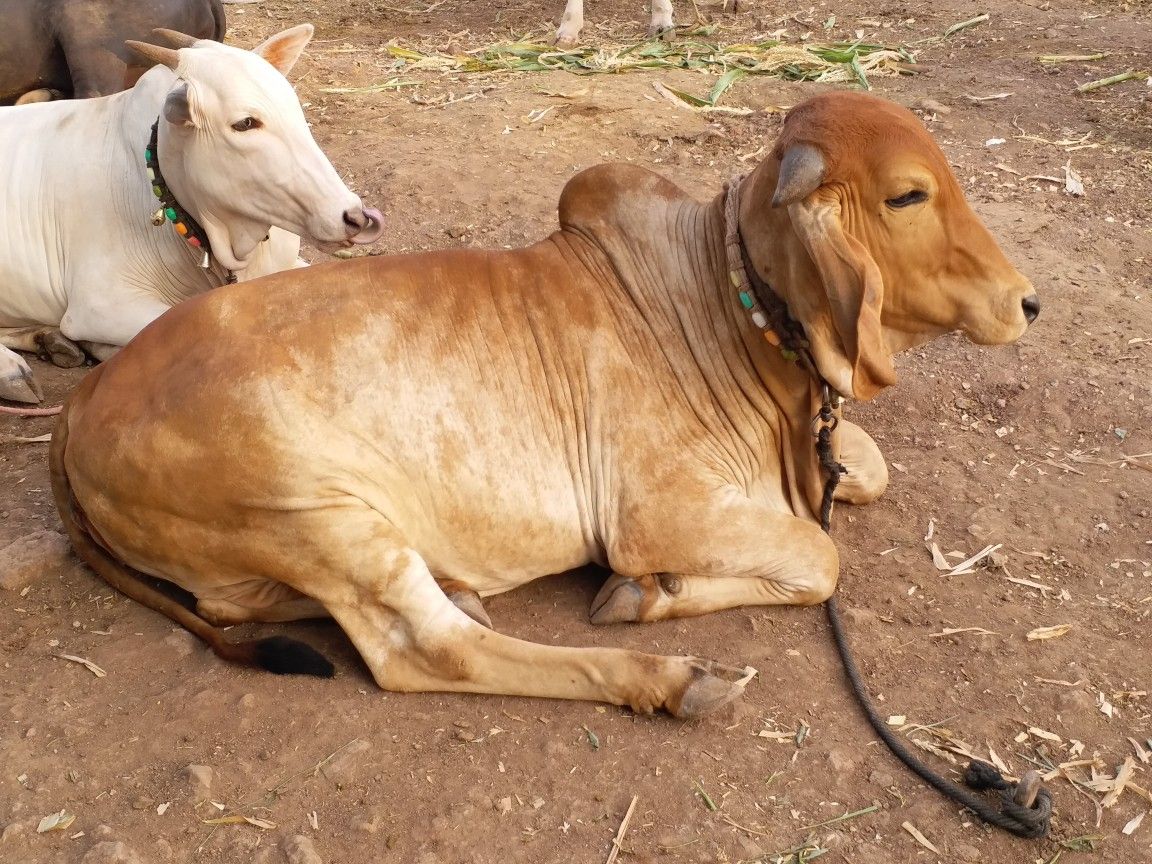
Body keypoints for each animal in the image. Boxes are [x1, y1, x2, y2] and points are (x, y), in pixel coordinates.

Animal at [50, 92, 1039, 718]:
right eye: (907, 194)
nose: (1027, 301)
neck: (718, 303)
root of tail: (85, 397)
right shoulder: (654, 510)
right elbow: (820, 555)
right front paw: (646, 592)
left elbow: (866, 468)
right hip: (315, 511)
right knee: (428, 651)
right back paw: (667, 680)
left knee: (239, 607)